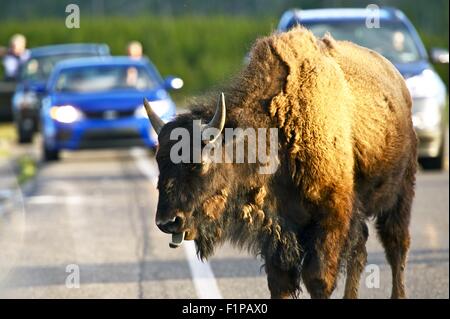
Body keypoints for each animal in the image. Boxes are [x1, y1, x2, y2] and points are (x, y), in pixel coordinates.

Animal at [143, 26, 414, 300]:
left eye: (198, 164)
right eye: (159, 162)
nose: (167, 222)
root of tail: (398, 80)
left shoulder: (331, 217)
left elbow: (318, 279)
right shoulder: (276, 229)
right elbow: (280, 282)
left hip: (400, 194)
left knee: (396, 246)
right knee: (361, 250)